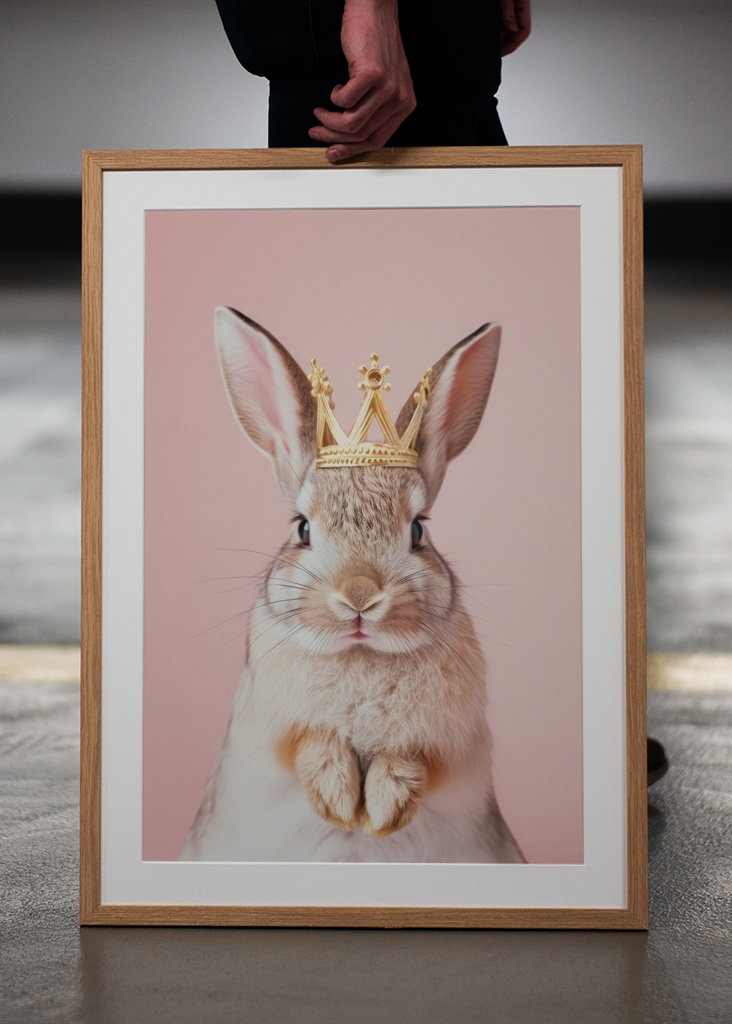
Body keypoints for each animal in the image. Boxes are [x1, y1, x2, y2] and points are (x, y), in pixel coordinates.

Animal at [180, 305, 525, 864]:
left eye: (418, 530)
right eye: (301, 528)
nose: (360, 596)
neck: (362, 654)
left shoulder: (457, 745)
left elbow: (417, 757)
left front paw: (385, 807)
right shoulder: (266, 729)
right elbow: (307, 742)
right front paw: (339, 800)